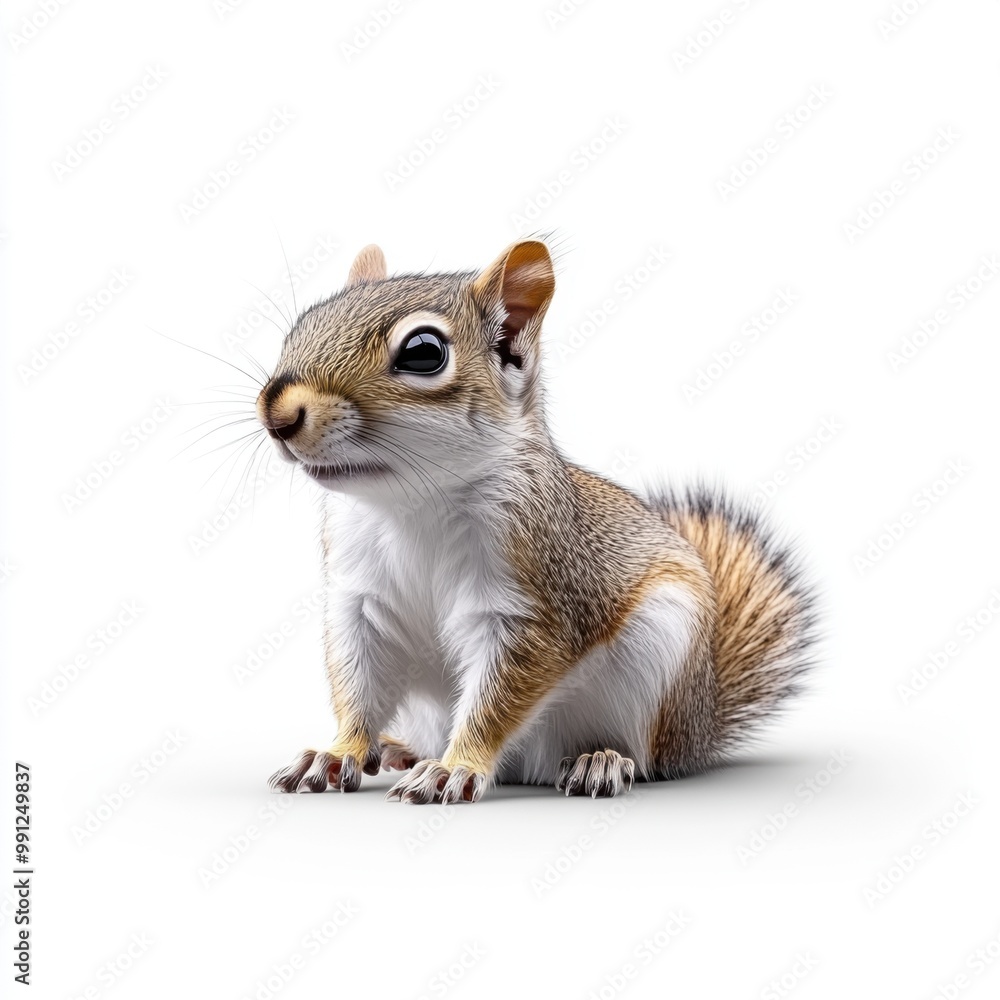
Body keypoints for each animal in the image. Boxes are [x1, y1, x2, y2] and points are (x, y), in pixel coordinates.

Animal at [258, 240, 817, 803]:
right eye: (299, 328)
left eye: (423, 351)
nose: (277, 416)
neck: (410, 505)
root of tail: (699, 725)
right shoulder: (360, 605)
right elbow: (358, 688)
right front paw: (337, 753)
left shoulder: (529, 604)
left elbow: (497, 697)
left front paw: (453, 769)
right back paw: (398, 750)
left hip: (657, 665)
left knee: (643, 758)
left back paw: (598, 762)